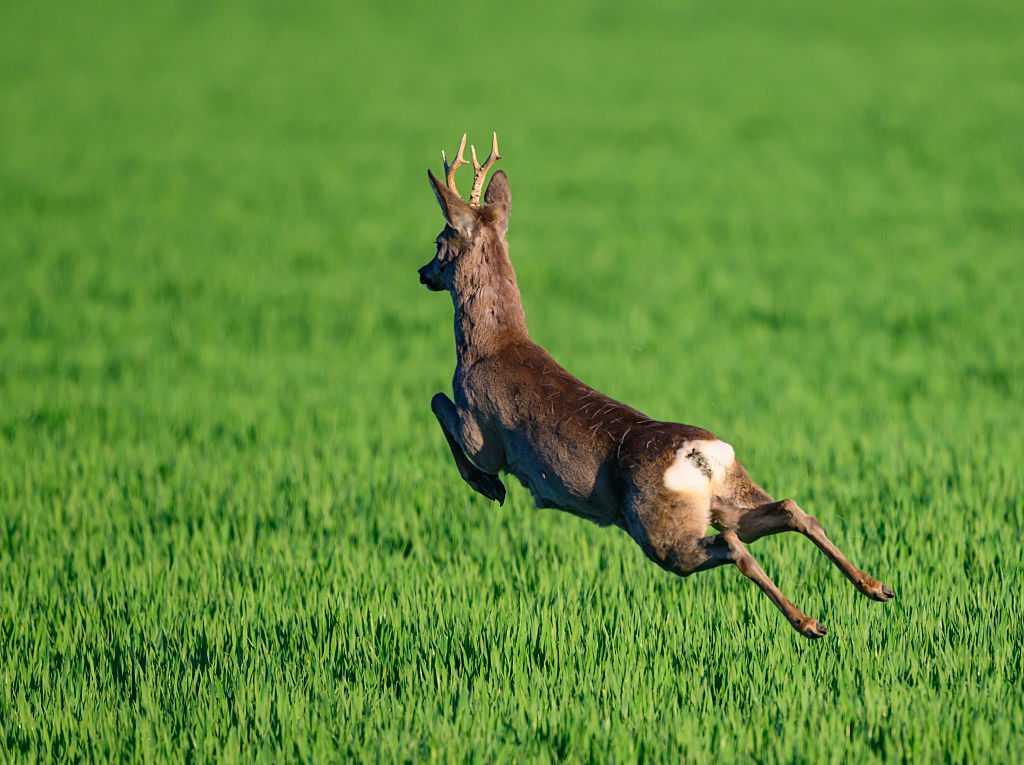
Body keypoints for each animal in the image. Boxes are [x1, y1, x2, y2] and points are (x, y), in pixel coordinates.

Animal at [418, 133, 895, 638]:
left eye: (439, 241)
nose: (422, 272)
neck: (493, 345)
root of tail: (700, 456)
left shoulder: (484, 433)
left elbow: (439, 402)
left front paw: (487, 486)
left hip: (660, 531)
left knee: (732, 545)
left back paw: (809, 622)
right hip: (727, 496)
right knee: (788, 510)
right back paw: (874, 587)